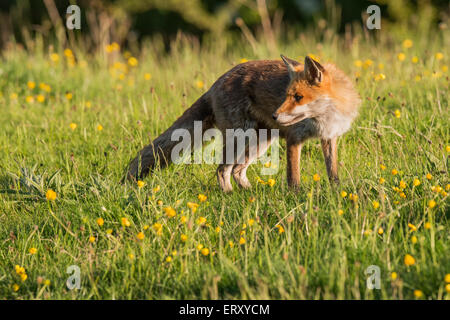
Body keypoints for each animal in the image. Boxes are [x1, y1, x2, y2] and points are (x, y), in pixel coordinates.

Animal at [128, 55, 360, 191]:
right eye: (287, 95)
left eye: (298, 97)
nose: (275, 115)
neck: (324, 117)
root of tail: (215, 84)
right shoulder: (295, 139)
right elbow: (293, 176)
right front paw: (295, 196)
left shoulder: (329, 137)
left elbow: (332, 170)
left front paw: (336, 191)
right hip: (240, 140)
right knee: (222, 169)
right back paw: (229, 195)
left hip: (260, 143)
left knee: (238, 170)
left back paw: (251, 193)